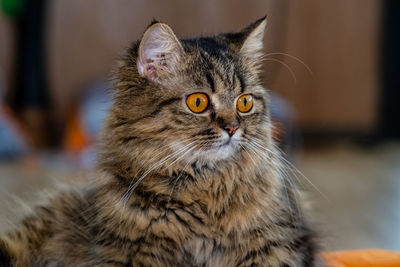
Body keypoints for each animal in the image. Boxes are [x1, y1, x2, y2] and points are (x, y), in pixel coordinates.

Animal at [0, 17, 318, 266]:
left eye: (245, 102)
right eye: (198, 102)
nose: (232, 128)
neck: (202, 190)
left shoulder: (278, 245)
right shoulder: (130, 252)